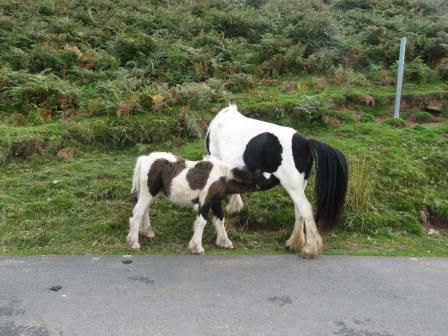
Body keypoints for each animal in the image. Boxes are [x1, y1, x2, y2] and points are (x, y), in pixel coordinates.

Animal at [128, 152, 258, 252]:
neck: (222, 175)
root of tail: (144, 159)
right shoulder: (205, 201)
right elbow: (202, 222)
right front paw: (197, 247)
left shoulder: (216, 202)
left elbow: (220, 219)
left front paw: (225, 242)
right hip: (148, 193)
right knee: (138, 213)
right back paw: (134, 243)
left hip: (151, 195)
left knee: (144, 210)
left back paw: (147, 232)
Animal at [206, 105, 350, 258]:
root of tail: (306, 143)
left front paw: (223, 240)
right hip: (299, 186)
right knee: (299, 210)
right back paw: (294, 243)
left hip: (292, 185)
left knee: (305, 208)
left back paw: (309, 249)